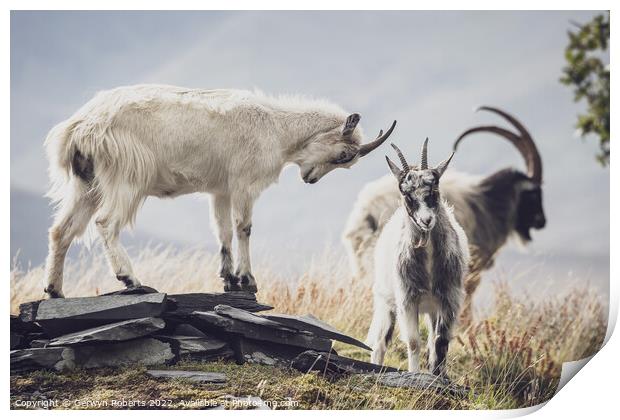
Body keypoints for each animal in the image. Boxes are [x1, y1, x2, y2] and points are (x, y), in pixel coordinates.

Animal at [43, 83, 394, 296]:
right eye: (343, 155)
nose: (310, 179)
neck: (277, 128)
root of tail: (81, 127)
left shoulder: (220, 190)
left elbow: (222, 230)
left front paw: (229, 280)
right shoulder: (243, 184)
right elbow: (244, 228)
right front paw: (248, 281)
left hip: (86, 183)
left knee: (62, 230)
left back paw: (54, 290)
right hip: (125, 178)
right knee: (106, 223)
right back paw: (130, 279)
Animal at [366, 139, 468, 376]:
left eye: (435, 190)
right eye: (406, 195)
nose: (426, 220)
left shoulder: (449, 298)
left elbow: (440, 342)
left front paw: (438, 376)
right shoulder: (407, 300)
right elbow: (413, 343)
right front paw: (414, 373)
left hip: (431, 309)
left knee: (431, 340)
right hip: (386, 303)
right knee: (380, 343)